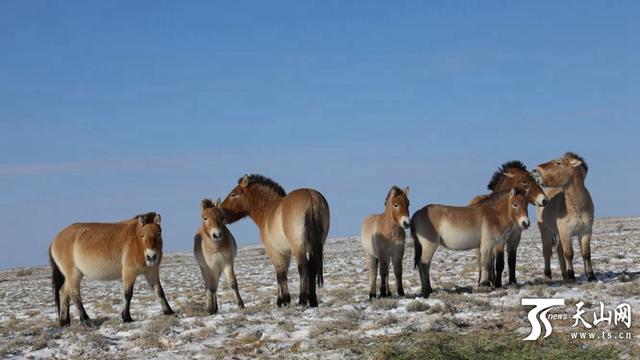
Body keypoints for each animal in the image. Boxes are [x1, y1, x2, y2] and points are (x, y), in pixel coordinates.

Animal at [221, 174, 330, 306]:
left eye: (233, 194)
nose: (220, 211)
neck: (268, 210)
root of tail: (310, 197)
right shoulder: (285, 253)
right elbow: (282, 274)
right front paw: (282, 300)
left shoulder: (274, 252)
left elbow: (280, 274)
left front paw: (283, 300)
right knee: (312, 267)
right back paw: (313, 301)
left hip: (298, 248)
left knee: (303, 267)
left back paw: (302, 300)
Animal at [528, 150, 596, 282]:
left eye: (558, 163)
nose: (534, 171)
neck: (577, 206)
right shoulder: (566, 233)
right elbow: (569, 254)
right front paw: (571, 275)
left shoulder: (585, 233)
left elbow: (586, 254)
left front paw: (591, 275)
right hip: (546, 231)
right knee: (547, 252)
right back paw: (548, 275)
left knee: (559, 251)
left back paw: (564, 275)